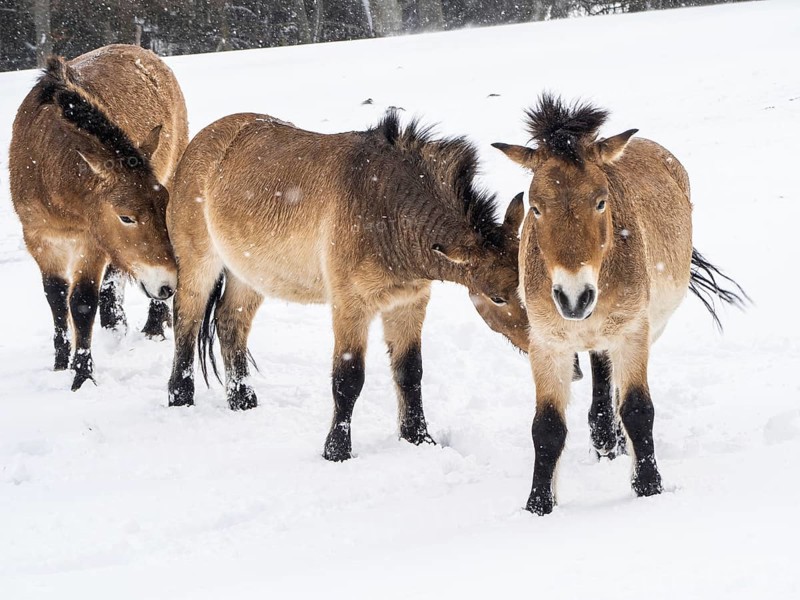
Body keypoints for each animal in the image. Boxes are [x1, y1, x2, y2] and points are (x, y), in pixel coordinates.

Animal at [9, 44, 188, 390]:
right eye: (126, 217)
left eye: (164, 207)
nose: (169, 284)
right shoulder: (38, 237)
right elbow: (56, 297)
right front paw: (60, 364)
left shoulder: (90, 242)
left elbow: (81, 302)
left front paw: (82, 376)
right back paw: (116, 324)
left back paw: (153, 326)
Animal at [166, 110, 530, 461]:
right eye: (497, 298)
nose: (537, 344)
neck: (387, 211)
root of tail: (199, 143)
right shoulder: (351, 305)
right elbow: (349, 377)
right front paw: (337, 450)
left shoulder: (408, 303)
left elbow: (410, 372)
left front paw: (419, 438)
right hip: (200, 264)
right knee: (187, 320)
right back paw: (179, 396)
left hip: (249, 275)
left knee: (231, 323)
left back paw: (242, 399)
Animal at [493, 93, 746, 514]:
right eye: (536, 207)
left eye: (600, 201)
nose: (574, 297)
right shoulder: (548, 344)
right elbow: (547, 428)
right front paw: (539, 505)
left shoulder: (632, 332)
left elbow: (638, 410)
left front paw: (648, 487)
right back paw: (604, 442)